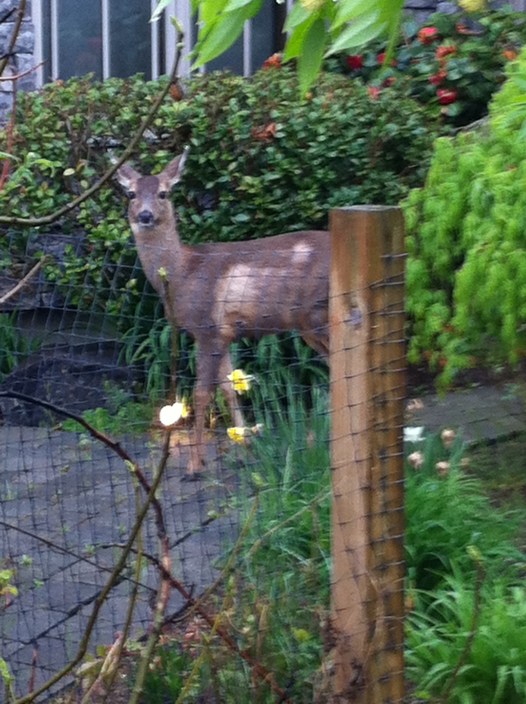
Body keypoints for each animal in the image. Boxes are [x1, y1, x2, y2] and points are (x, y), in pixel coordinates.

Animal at [116, 148, 330, 479]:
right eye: (131, 193)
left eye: (164, 192)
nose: (146, 216)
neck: (183, 274)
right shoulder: (225, 334)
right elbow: (230, 388)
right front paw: (244, 449)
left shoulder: (206, 329)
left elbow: (201, 393)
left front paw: (194, 466)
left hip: (319, 315)